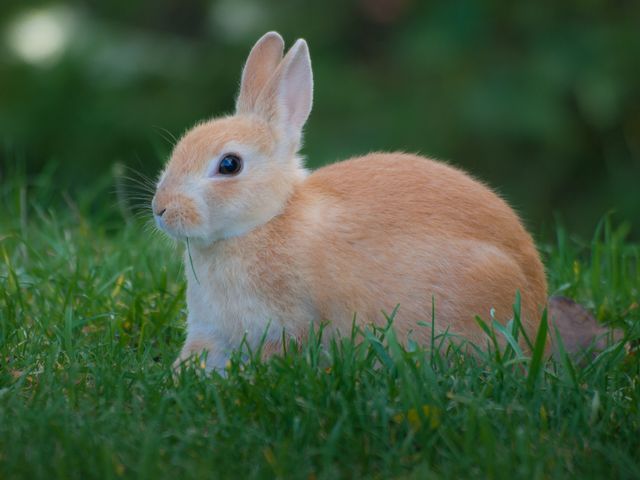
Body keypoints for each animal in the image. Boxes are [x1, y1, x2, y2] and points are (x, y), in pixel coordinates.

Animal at [151, 32, 548, 372]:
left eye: (229, 165)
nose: (161, 209)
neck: (267, 220)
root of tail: (536, 300)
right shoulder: (211, 330)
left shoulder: (285, 325)